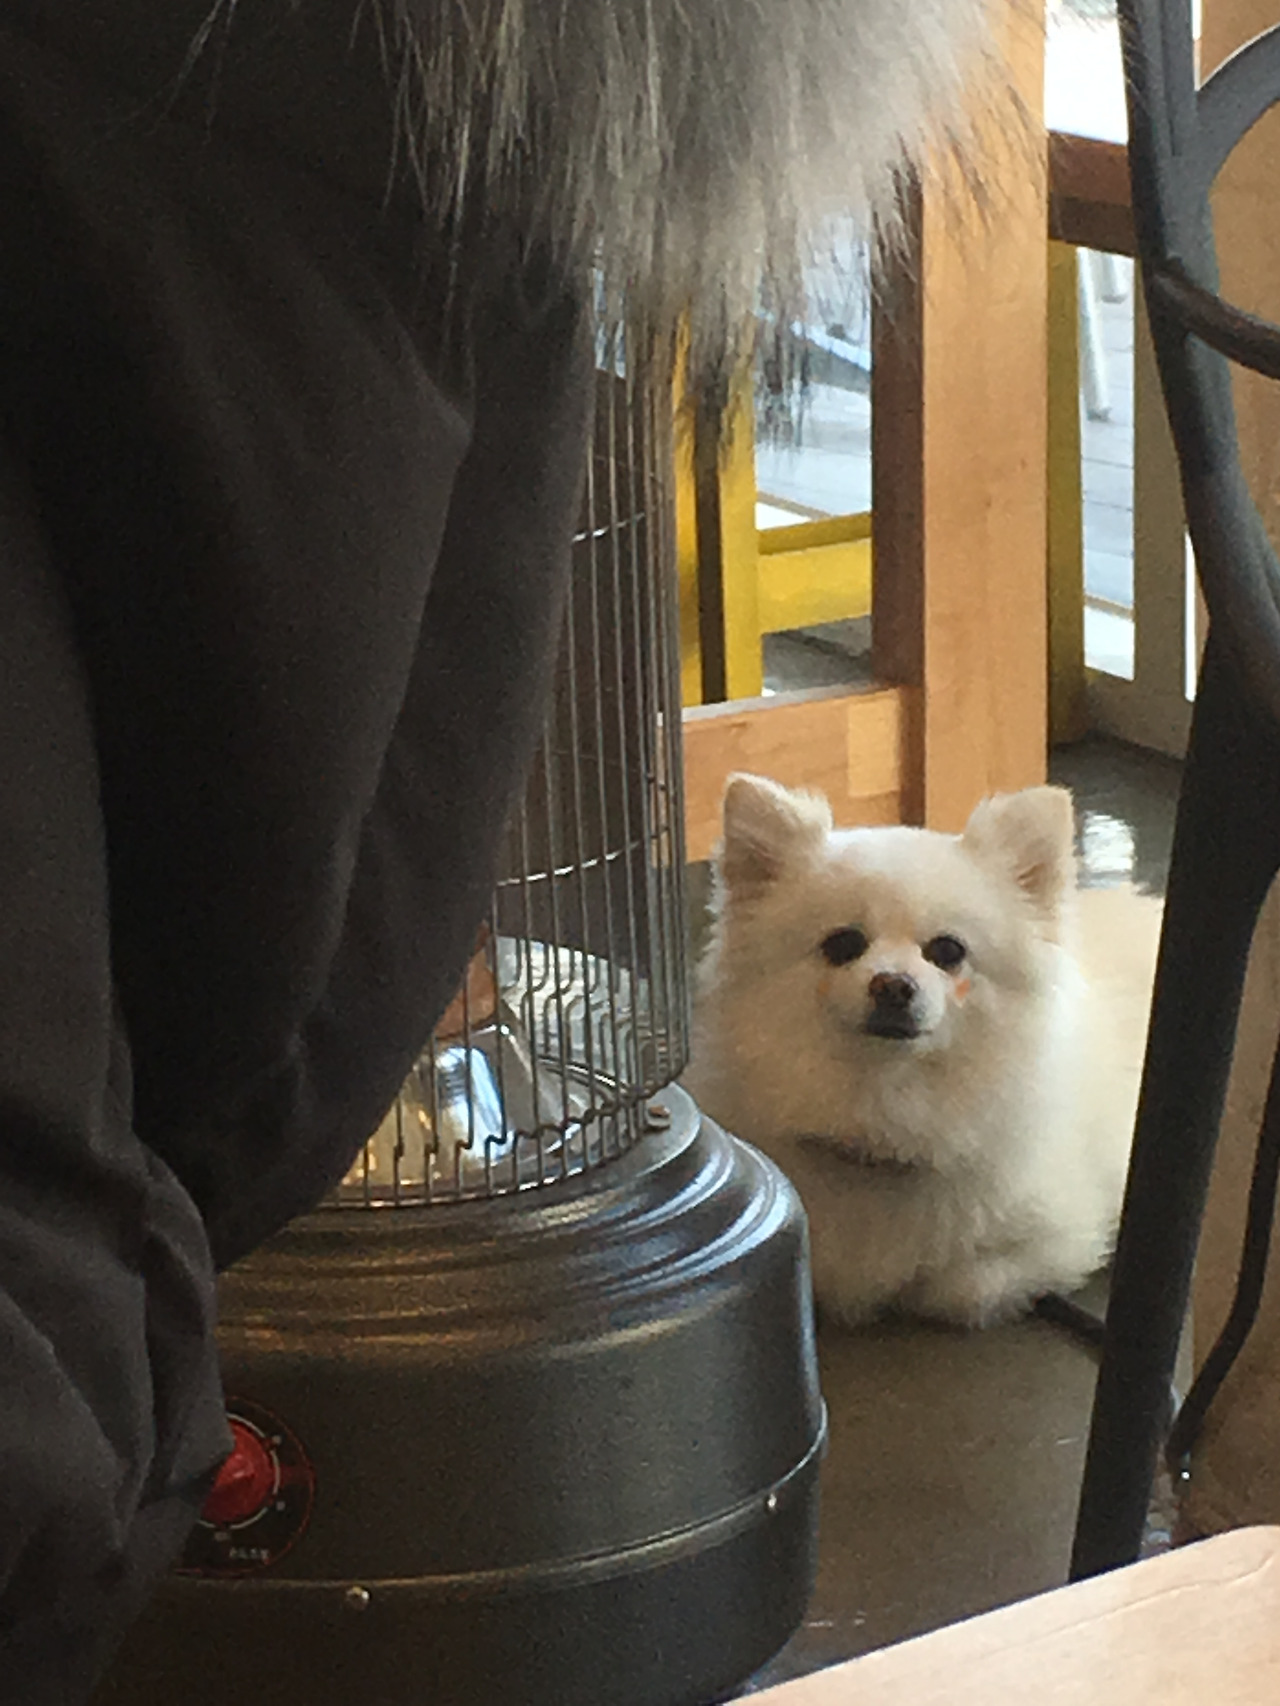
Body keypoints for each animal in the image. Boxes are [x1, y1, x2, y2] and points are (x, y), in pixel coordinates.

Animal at [685, 774, 1161, 1328]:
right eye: (843, 944)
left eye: (947, 951)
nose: (893, 985)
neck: (883, 1111)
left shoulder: (1060, 1239)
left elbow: (954, 1288)